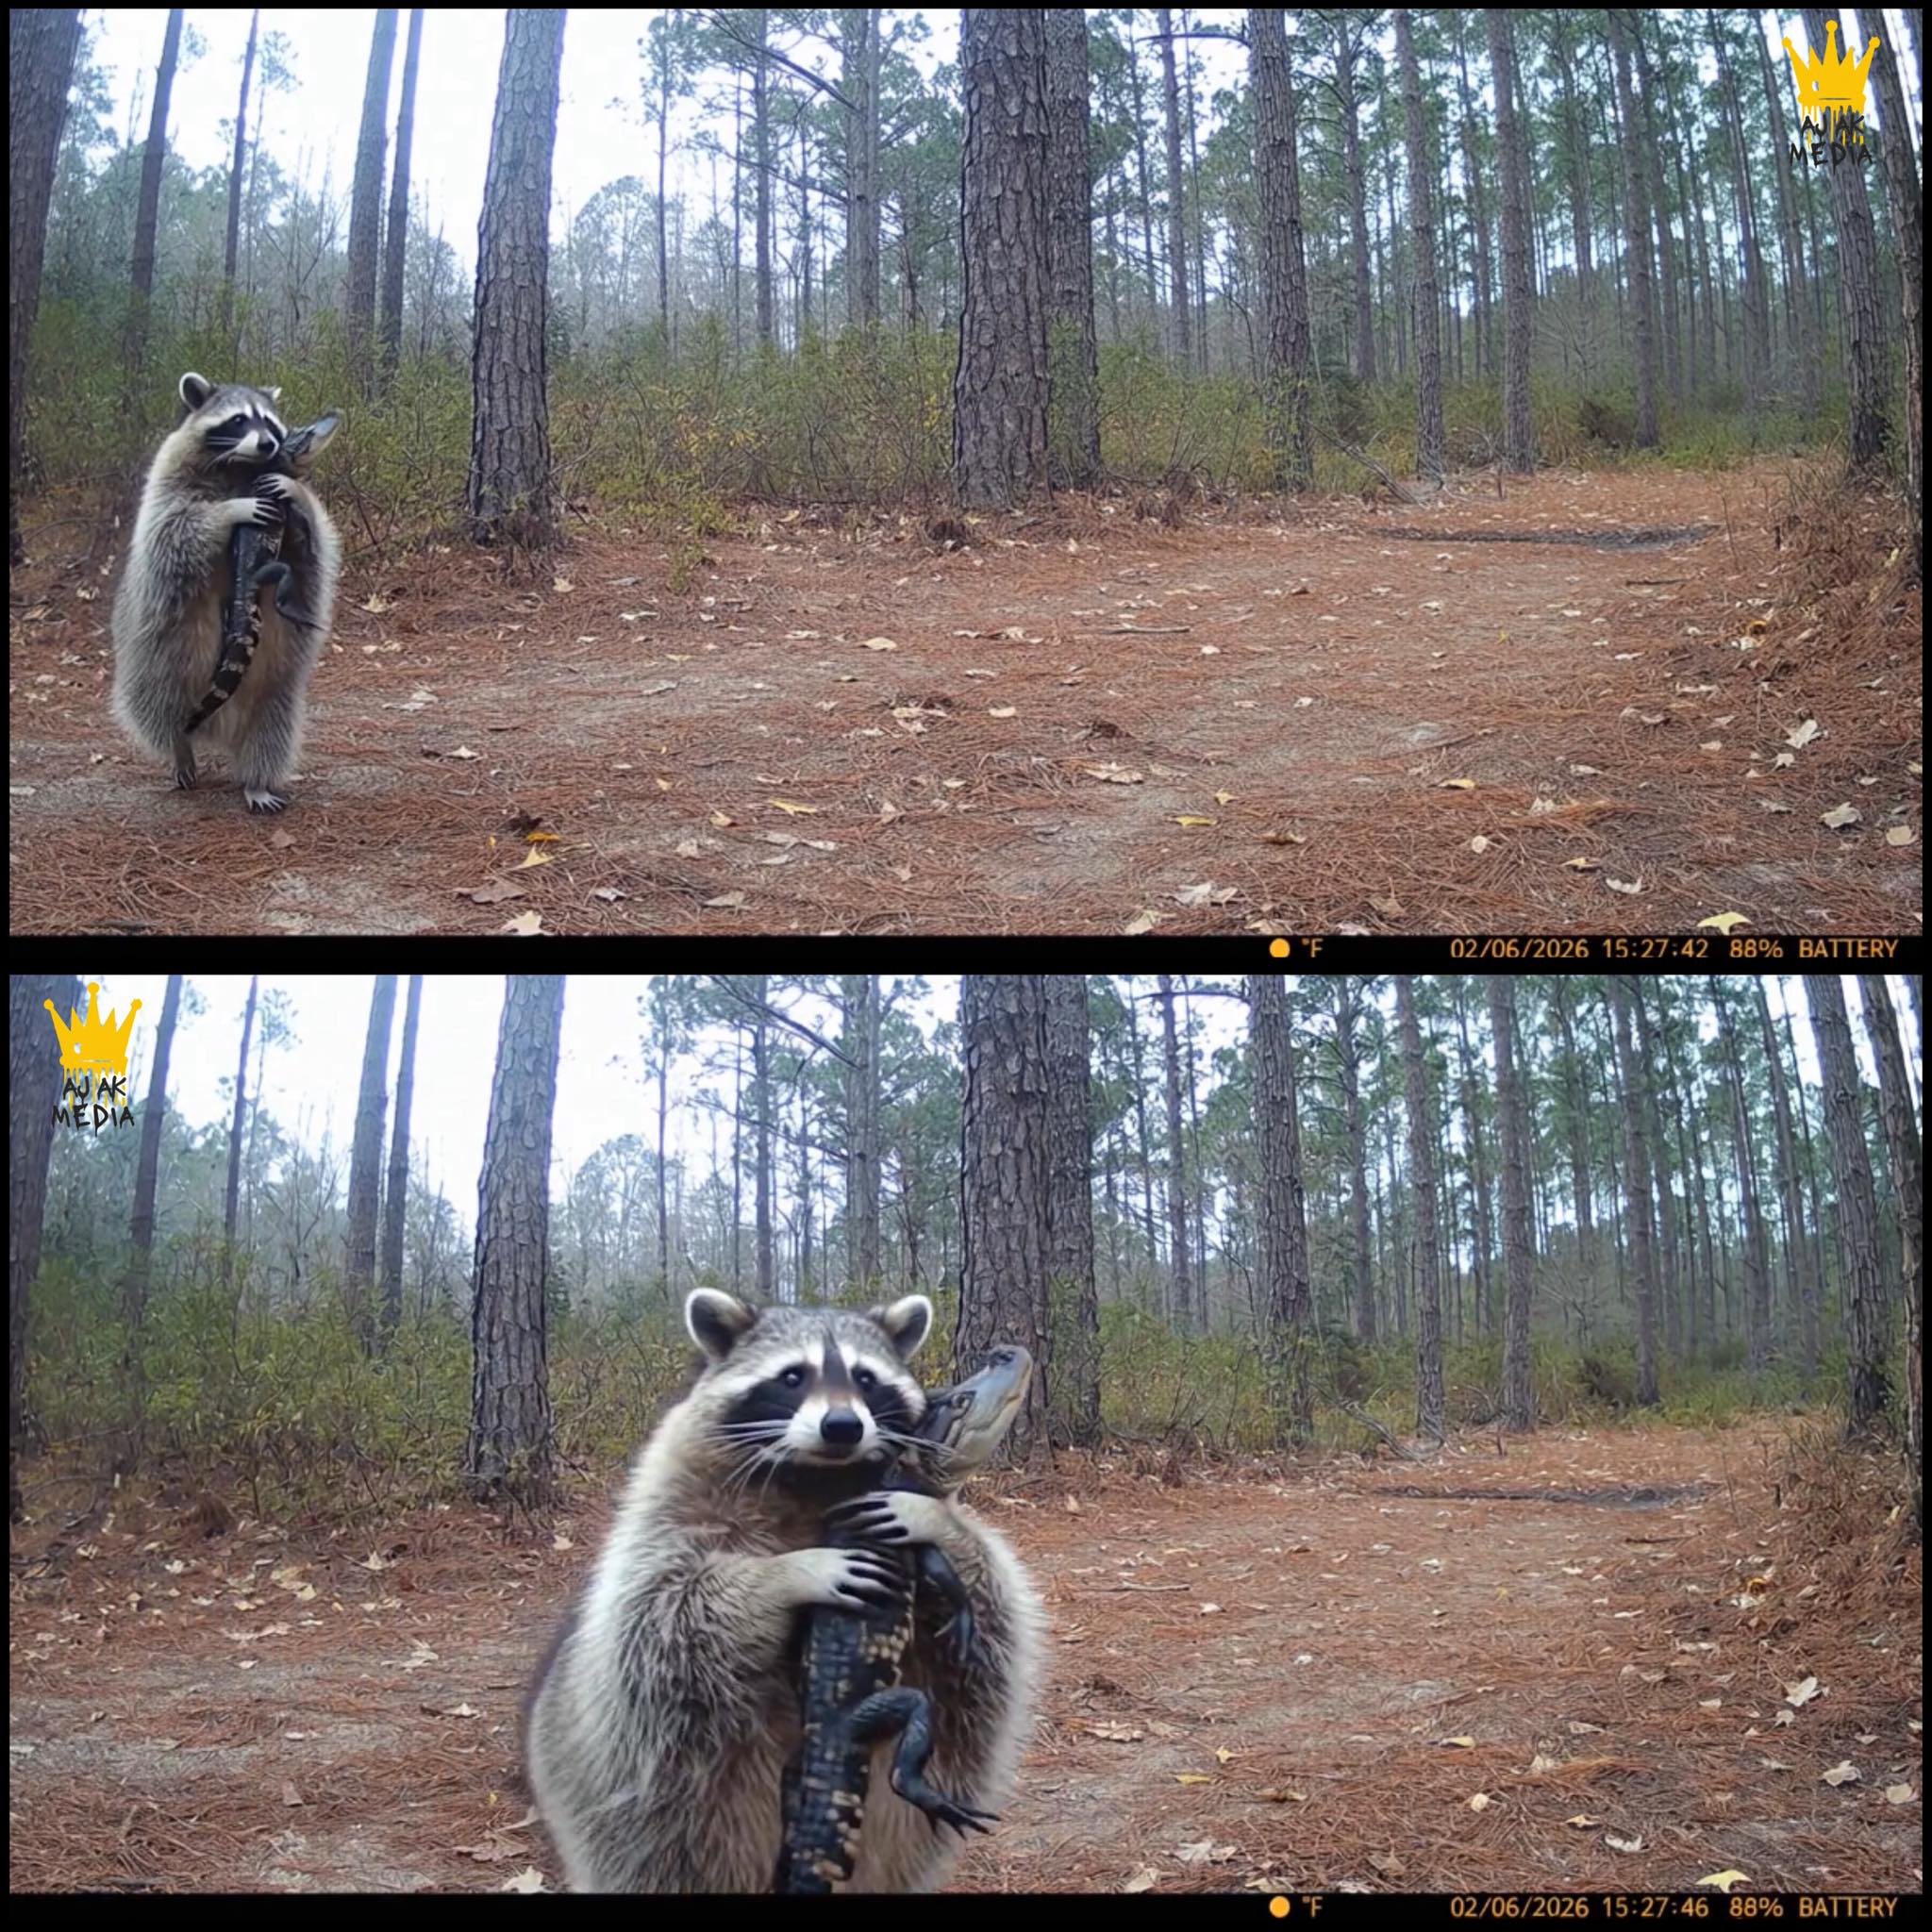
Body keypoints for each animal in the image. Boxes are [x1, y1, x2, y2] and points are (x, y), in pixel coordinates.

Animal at [111, 372, 341, 813]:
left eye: (270, 424)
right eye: (238, 420)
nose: (268, 445)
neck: (242, 465)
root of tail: (219, 728)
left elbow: (311, 541)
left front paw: (293, 489)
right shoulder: (167, 479)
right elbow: (174, 529)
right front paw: (230, 511)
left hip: (273, 689)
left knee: (271, 730)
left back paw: (257, 781)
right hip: (159, 661)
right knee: (161, 708)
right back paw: (180, 747)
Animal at [523, 1290, 1045, 1893]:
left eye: (866, 1379)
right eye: (792, 1377)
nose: (1006, 1352)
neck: (826, 1480)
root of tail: (827, 1735)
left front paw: (937, 1525)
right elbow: (668, 1605)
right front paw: (798, 1571)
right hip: (868, 1714)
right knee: (913, 1720)